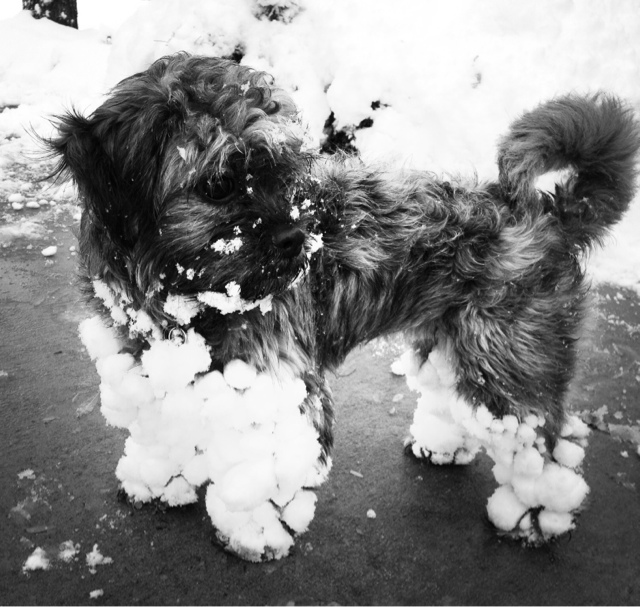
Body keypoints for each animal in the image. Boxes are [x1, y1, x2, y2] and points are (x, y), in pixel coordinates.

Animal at [47, 53, 640, 561]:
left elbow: (267, 465)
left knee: (543, 440)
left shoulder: (276, 386)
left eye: (284, 169)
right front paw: (158, 482)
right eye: (217, 182)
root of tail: (548, 212)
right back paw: (443, 446)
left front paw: (253, 535)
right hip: (456, 338)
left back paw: (536, 517)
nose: (296, 239)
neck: (183, 296)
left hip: (509, 360)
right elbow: (166, 427)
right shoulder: (153, 370)